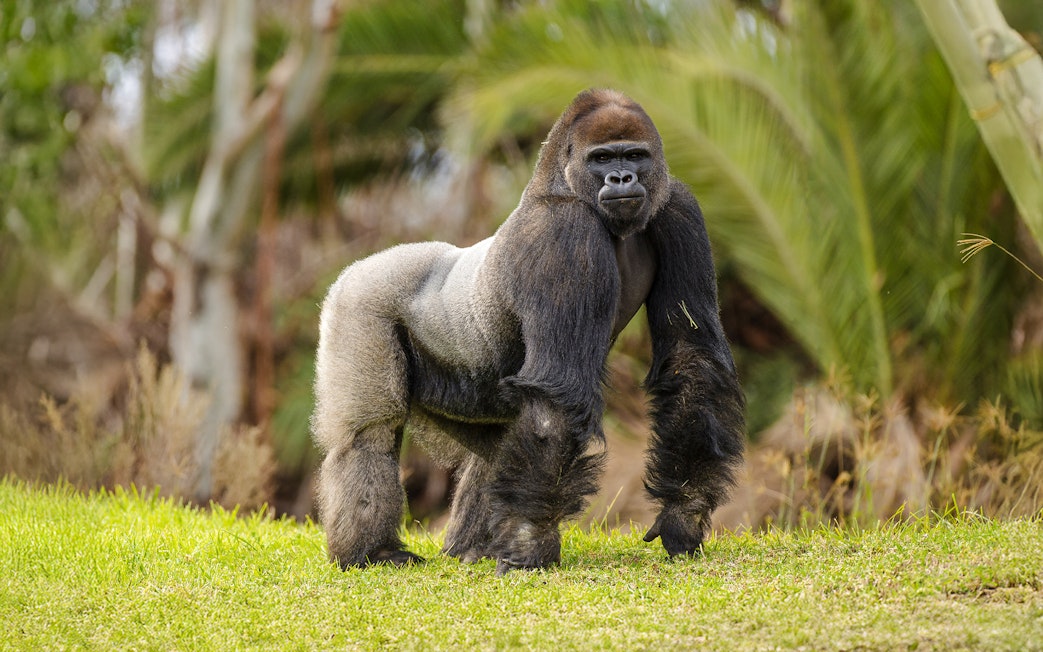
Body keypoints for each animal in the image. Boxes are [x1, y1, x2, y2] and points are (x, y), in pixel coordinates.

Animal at [312, 88, 745, 575]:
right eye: (601, 158)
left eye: (635, 155)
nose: (621, 177)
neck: (561, 182)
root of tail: (357, 267)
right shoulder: (563, 234)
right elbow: (557, 394)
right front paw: (528, 544)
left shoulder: (677, 205)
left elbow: (691, 355)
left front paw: (683, 513)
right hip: (359, 302)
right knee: (368, 435)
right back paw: (371, 551)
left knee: (495, 451)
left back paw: (470, 548)